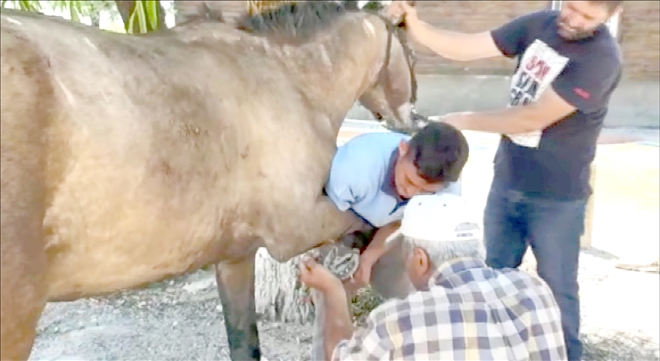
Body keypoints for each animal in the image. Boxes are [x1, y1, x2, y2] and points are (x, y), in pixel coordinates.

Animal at [0, 1, 420, 358]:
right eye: (408, 50)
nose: (412, 120)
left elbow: (244, 344)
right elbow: (370, 225)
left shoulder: (235, 257)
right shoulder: (299, 227)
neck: (288, 78)